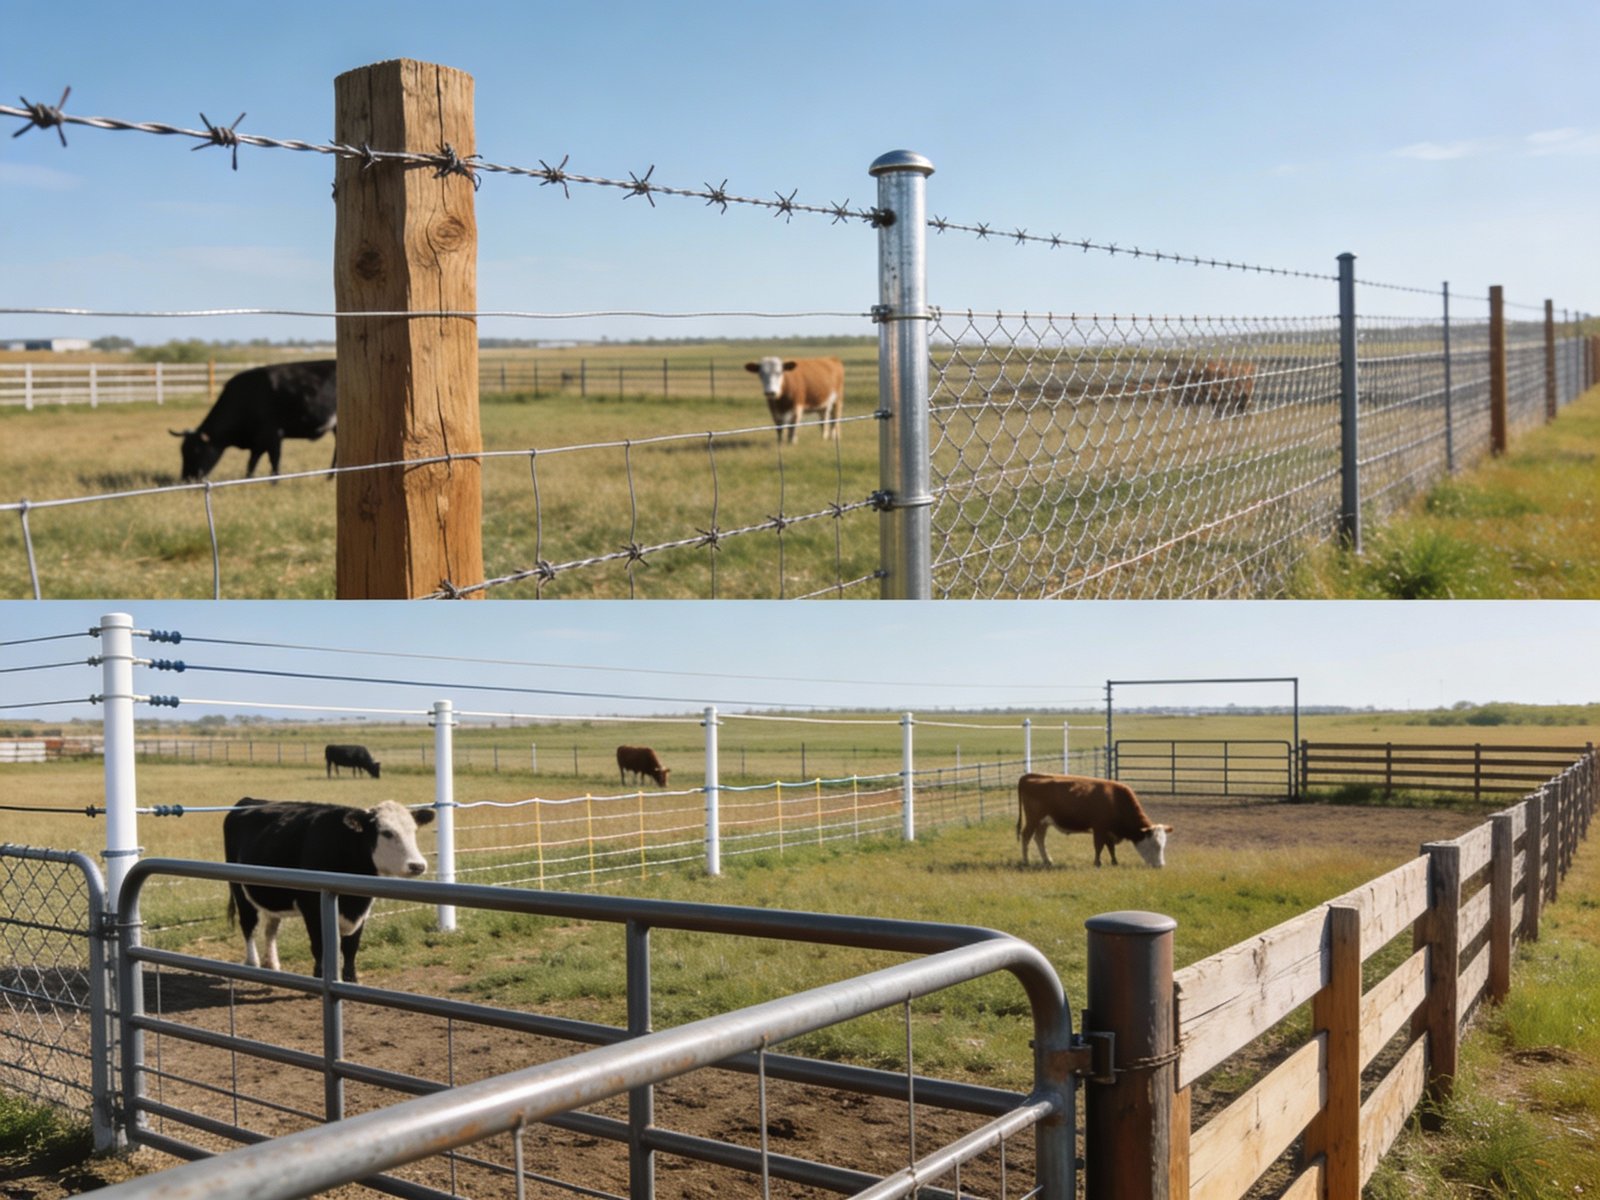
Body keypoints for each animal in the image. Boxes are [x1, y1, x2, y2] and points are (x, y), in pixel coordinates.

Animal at [172, 359, 337, 482]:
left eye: (196, 450)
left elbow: (274, 461)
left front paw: (274, 483)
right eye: (182, 451)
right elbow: (251, 463)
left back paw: (330, 476)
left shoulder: (274, 435)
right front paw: (248, 480)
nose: (186, 479)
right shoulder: (258, 442)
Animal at [222, 797, 435, 982]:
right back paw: (253, 962)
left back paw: (272, 964)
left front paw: (350, 980)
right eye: (387, 832)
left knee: (271, 929)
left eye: (414, 831)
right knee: (248, 924)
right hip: (240, 890)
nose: (418, 865)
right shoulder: (312, 908)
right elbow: (319, 946)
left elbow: (351, 947)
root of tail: (248, 801)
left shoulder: (361, 907)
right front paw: (319, 978)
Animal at [1016, 773, 1173, 868]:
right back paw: (1025, 861)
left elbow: (1110, 847)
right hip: (1033, 819)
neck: (1115, 800)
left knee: (1039, 838)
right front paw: (1098, 863)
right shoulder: (1099, 828)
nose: (1161, 866)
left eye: (1163, 845)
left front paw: (1114, 862)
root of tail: (1030, 776)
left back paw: (1047, 860)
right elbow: (1099, 846)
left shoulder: (1109, 831)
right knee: (1026, 836)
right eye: (1155, 845)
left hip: (1043, 822)